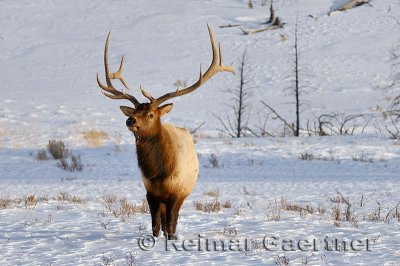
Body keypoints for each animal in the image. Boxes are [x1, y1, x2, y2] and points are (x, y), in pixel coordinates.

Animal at [96, 26, 234, 240]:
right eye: (134, 111)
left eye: (151, 114)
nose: (130, 120)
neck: (158, 173)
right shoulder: (150, 192)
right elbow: (155, 226)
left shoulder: (176, 192)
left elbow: (170, 225)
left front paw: (170, 240)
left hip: (185, 192)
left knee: (173, 221)